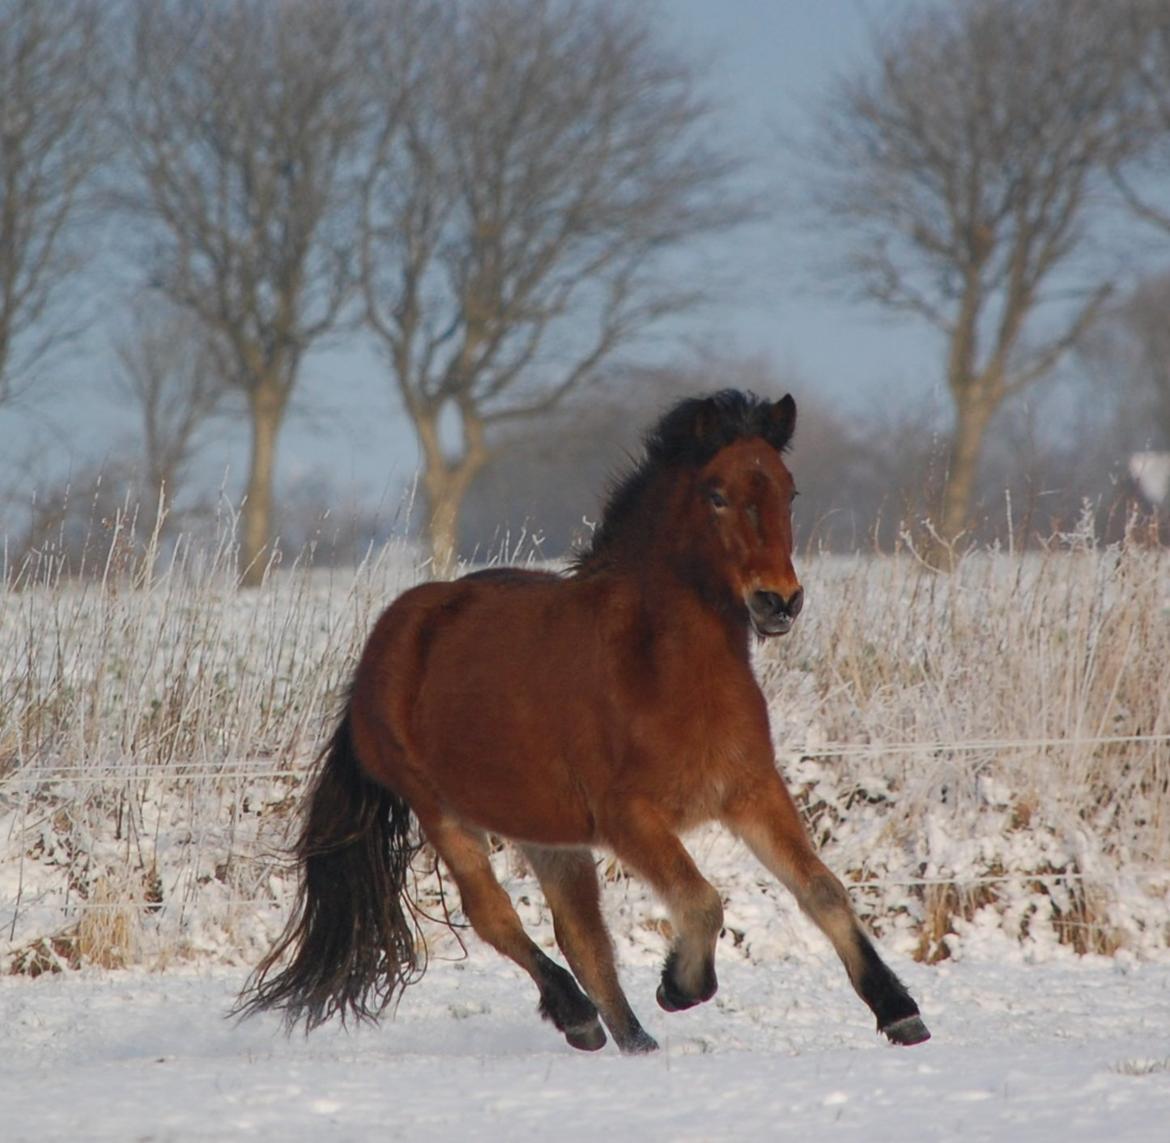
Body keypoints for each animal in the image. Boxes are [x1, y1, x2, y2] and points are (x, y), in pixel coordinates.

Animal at [239, 390, 931, 1052]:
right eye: (717, 496)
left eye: (788, 491)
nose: (778, 601)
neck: (665, 672)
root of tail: (389, 638)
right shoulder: (629, 817)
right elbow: (701, 900)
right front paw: (681, 984)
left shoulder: (752, 793)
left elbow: (822, 889)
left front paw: (900, 1012)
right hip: (442, 813)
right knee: (495, 915)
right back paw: (577, 1015)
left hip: (547, 834)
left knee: (581, 936)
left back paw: (631, 1040)